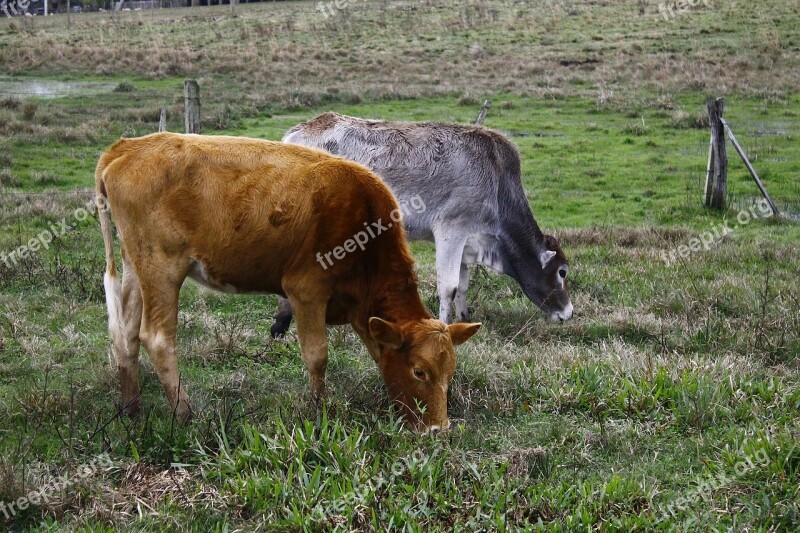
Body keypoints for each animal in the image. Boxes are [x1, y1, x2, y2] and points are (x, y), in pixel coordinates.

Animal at [95, 132, 482, 428]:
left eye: (450, 372)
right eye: (419, 372)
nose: (438, 429)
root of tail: (128, 146)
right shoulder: (306, 290)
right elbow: (317, 355)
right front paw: (319, 410)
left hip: (137, 267)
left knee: (127, 334)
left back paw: (132, 409)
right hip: (163, 268)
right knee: (157, 338)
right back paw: (185, 413)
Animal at [272, 112, 572, 336]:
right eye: (562, 272)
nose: (568, 313)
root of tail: (300, 130)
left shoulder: (466, 240)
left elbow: (463, 285)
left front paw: (465, 319)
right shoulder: (451, 229)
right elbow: (448, 286)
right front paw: (444, 327)